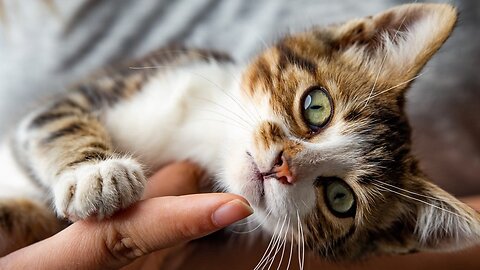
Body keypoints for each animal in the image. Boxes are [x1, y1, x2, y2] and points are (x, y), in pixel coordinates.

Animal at [0, 1, 480, 264]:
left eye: (340, 199)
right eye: (317, 107)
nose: (282, 166)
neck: (202, 136)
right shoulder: (109, 87)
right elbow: (55, 119)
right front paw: (96, 175)